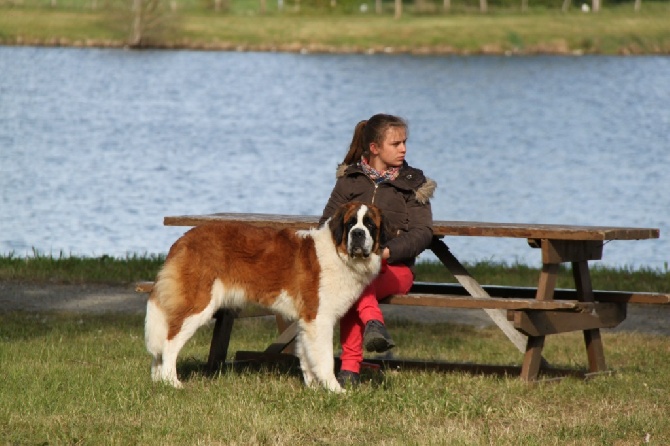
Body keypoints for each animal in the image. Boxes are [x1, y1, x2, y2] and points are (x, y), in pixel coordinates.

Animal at [146, 204, 388, 392]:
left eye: (370, 225)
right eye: (351, 224)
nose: (358, 234)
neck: (340, 254)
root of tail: (183, 239)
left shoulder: (307, 321)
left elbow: (307, 355)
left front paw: (312, 388)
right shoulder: (320, 319)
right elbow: (325, 358)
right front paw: (335, 389)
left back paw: (158, 380)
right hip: (198, 304)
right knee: (170, 341)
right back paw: (172, 382)